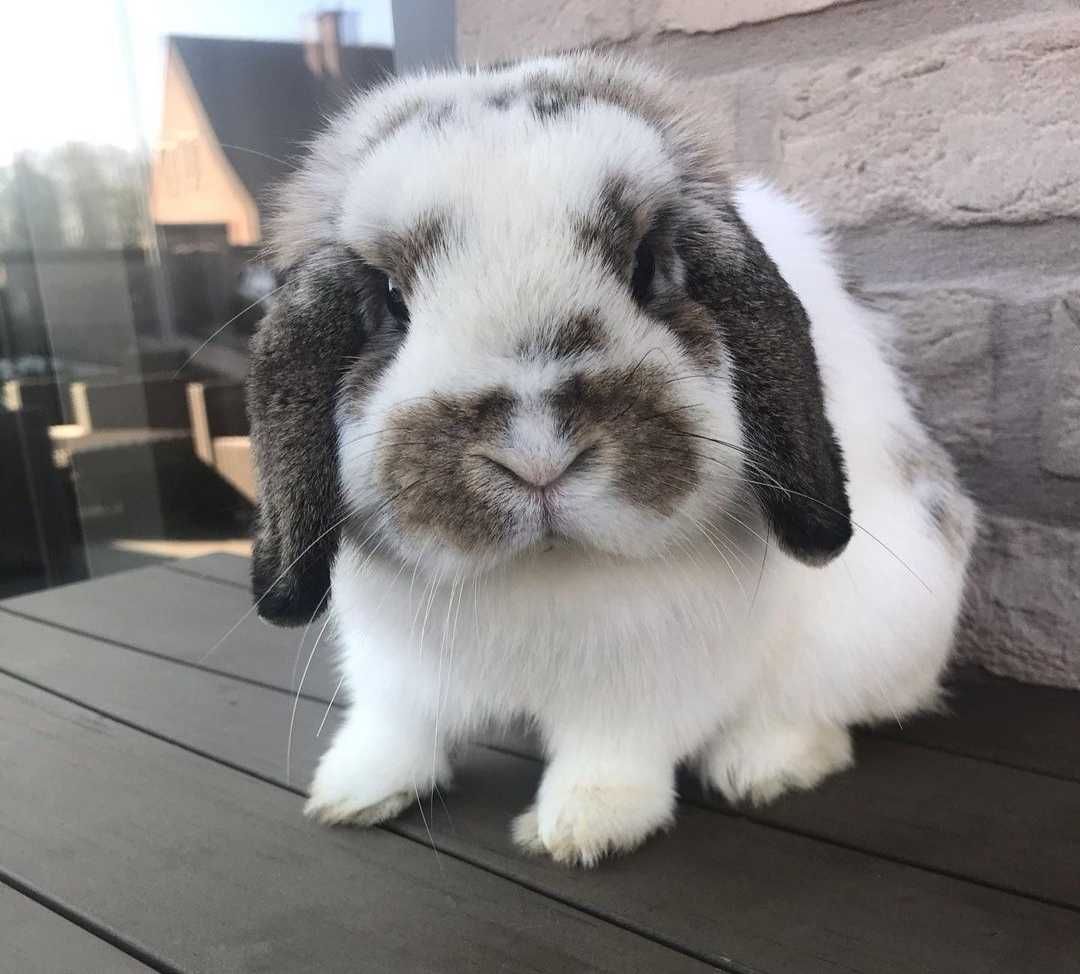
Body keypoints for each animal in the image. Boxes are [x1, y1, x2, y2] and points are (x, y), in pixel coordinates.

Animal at [247, 51, 980, 868]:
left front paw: (580, 828)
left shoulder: (647, 679)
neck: (542, 572)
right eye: (391, 301)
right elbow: (395, 727)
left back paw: (764, 766)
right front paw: (352, 792)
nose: (536, 457)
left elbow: (613, 752)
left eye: (646, 266)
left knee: (814, 711)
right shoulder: (391, 666)